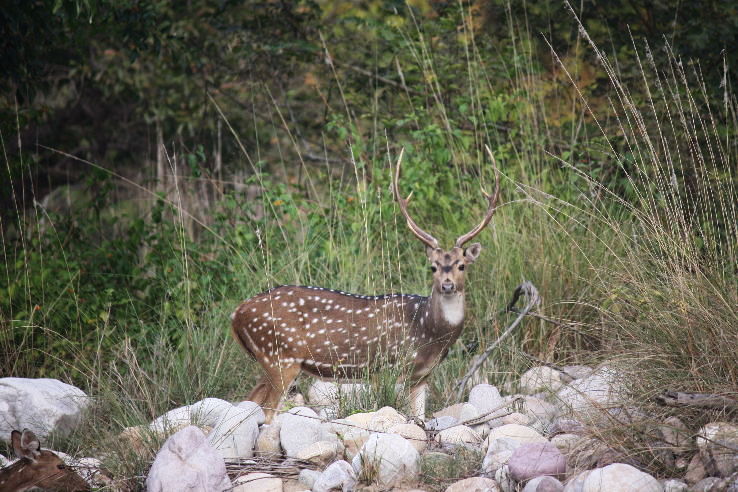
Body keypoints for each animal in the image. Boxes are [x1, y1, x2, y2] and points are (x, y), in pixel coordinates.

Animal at [234, 148, 500, 420]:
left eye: (462, 265)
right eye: (433, 267)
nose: (447, 286)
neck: (428, 331)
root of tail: (236, 314)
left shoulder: (421, 375)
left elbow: (419, 419)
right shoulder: (385, 367)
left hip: (271, 360)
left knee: (251, 400)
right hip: (280, 355)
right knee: (267, 412)